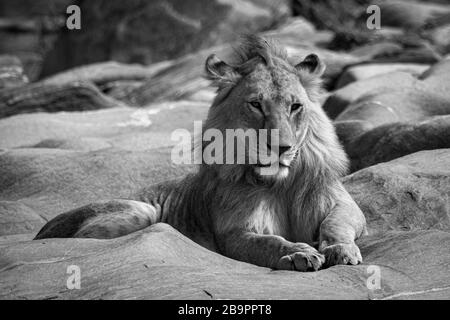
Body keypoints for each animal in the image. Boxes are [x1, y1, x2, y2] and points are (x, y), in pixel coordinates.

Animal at [34, 35, 366, 270]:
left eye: (295, 106)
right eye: (256, 105)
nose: (281, 147)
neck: (279, 185)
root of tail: (41, 231)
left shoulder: (344, 205)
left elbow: (336, 224)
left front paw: (340, 249)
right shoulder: (233, 233)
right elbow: (269, 242)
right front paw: (298, 252)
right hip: (140, 210)